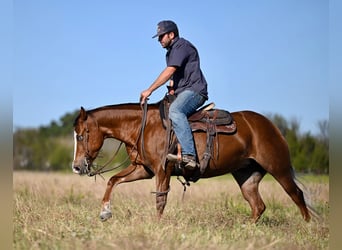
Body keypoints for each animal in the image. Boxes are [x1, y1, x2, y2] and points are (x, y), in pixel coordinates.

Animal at [72, 101, 312, 223]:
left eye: (81, 136)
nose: (76, 166)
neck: (143, 126)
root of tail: (271, 126)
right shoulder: (144, 170)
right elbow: (112, 180)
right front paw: (105, 211)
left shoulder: (162, 170)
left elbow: (160, 200)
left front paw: (157, 226)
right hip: (247, 176)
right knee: (258, 206)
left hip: (279, 168)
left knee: (297, 195)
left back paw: (308, 226)